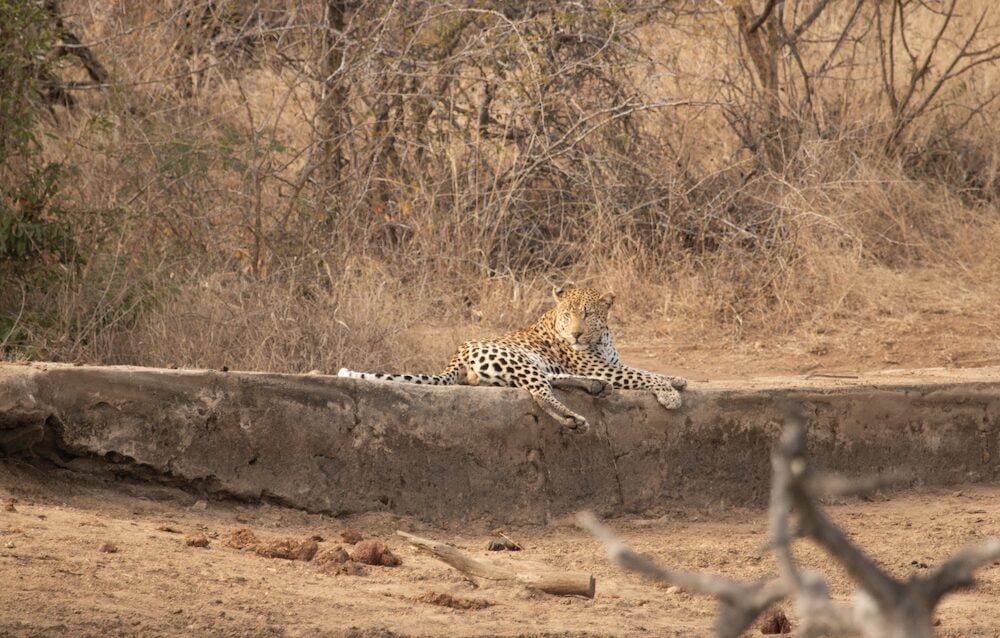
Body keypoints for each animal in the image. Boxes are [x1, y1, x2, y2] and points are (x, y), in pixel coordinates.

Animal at [337, 286, 687, 432]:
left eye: (588, 314)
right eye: (567, 315)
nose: (575, 335)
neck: (601, 337)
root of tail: (456, 354)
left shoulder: (611, 365)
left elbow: (643, 369)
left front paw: (678, 380)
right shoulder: (600, 365)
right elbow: (644, 375)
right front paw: (670, 394)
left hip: (528, 363)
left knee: (548, 382)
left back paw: (595, 388)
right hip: (517, 360)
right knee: (540, 392)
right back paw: (574, 419)